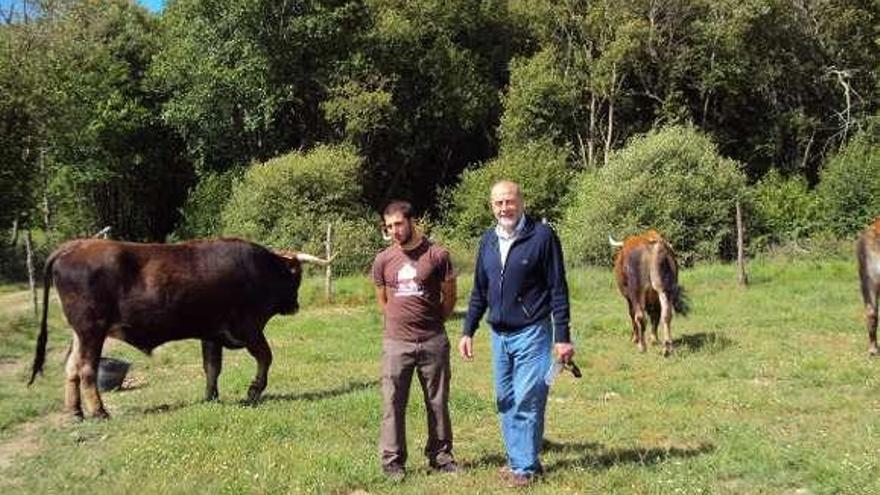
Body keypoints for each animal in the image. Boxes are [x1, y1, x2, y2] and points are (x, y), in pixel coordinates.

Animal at [29, 238, 330, 420]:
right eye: (296, 276)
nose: (295, 305)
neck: (260, 270)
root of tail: (74, 245)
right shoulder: (249, 328)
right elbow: (266, 357)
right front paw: (254, 390)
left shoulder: (211, 334)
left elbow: (212, 367)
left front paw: (210, 397)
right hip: (92, 330)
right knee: (86, 370)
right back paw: (100, 412)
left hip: (79, 333)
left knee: (71, 367)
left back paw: (75, 411)